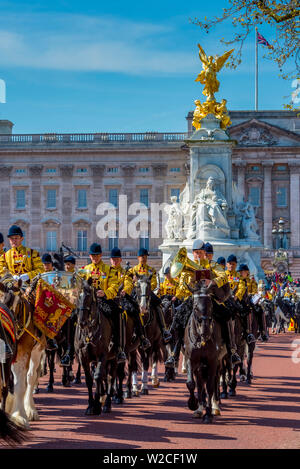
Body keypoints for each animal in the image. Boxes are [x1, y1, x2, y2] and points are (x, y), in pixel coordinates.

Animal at [0, 276, 46, 430]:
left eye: (18, 303)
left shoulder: (23, 353)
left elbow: (20, 384)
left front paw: (19, 416)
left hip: (38, 350)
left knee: (31, 377)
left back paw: (30, 409)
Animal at [74, 278, 116, 414]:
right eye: (78, 295)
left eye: (88, 297)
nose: (82, 322)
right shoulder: (83, 356)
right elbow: (89, 379)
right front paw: (91, 405)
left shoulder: (102, 355)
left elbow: (98, 376)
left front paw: (97, 405)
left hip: (114, 358)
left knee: (110, 377)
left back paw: (107, 403)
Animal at [184, 280, 226, 422]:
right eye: (195, 306)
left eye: (211, 305)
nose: (206, 331)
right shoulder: (191, 359)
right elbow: (192, 383)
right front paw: (193, 404)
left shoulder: (213, 361)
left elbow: (210, 387)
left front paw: (208, 414)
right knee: (200, 383)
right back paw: (199, 408)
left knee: (214, 381)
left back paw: (215, 407)